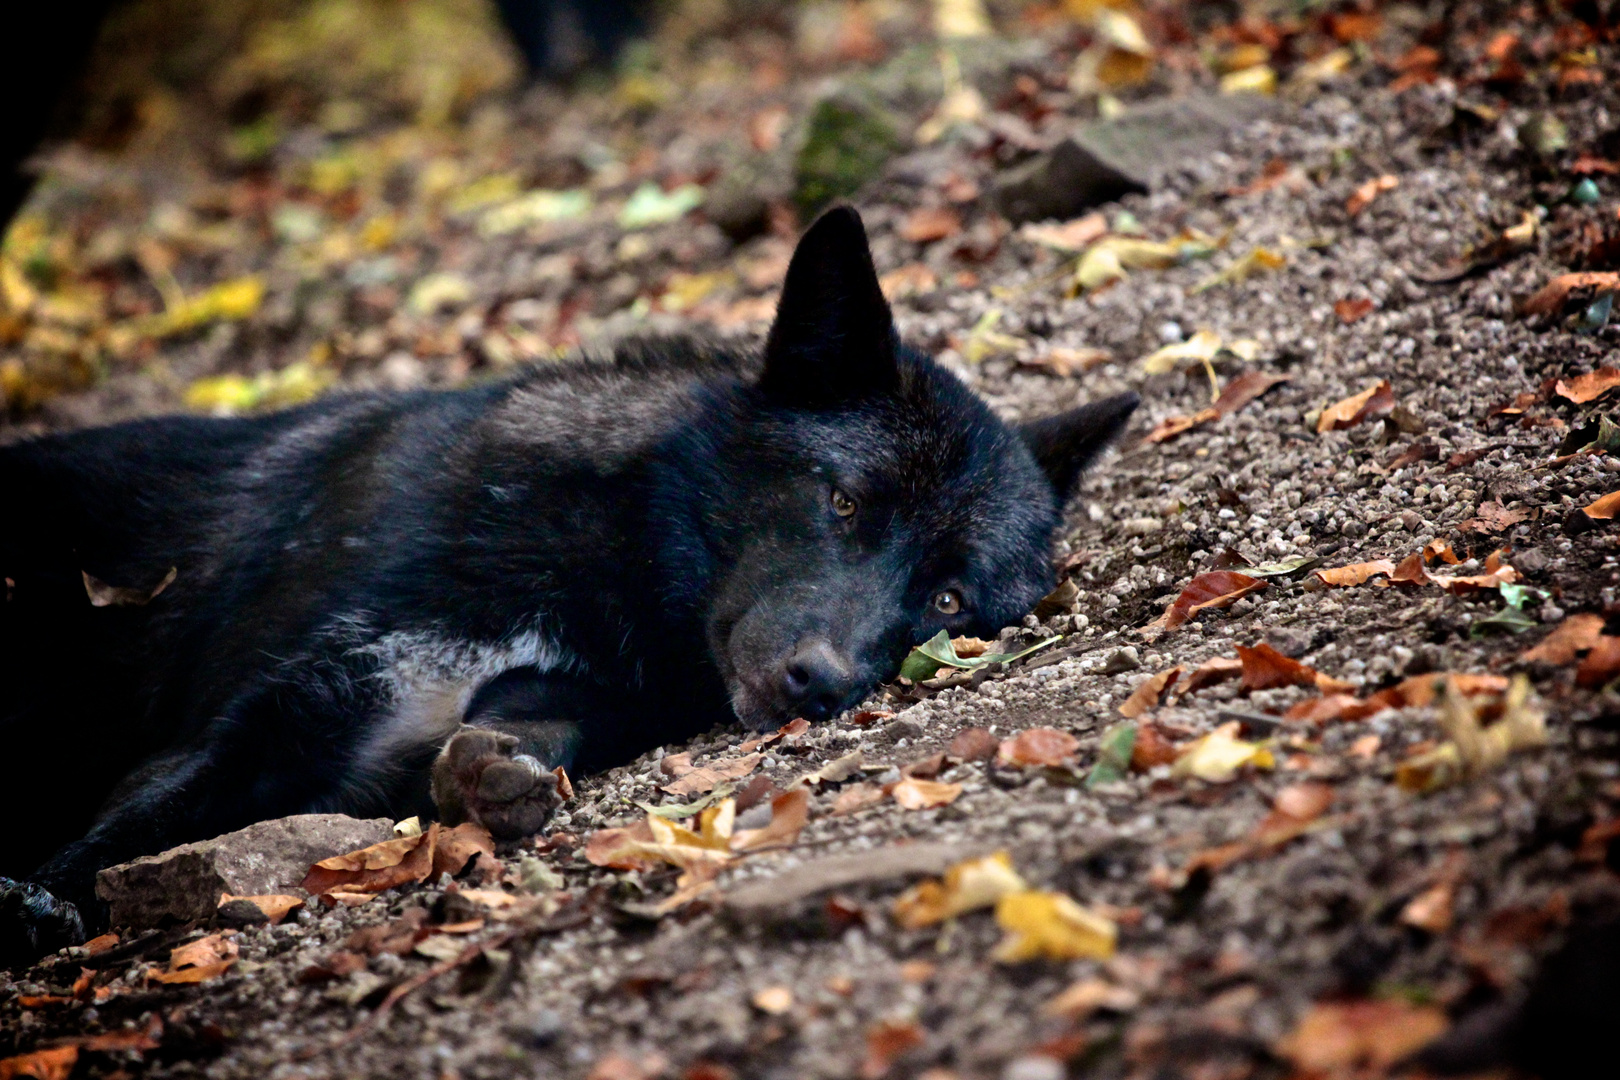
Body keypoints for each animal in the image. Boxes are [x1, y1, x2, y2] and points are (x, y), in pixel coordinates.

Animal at [0, 207, 1134, 965]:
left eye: (947, 602)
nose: (822, 683)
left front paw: (492, 779)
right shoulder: (259, 721)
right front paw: (36, 907)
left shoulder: (557, 697)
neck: (585, 572)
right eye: (846, 502)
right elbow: (126, 829)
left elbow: (518, 739)